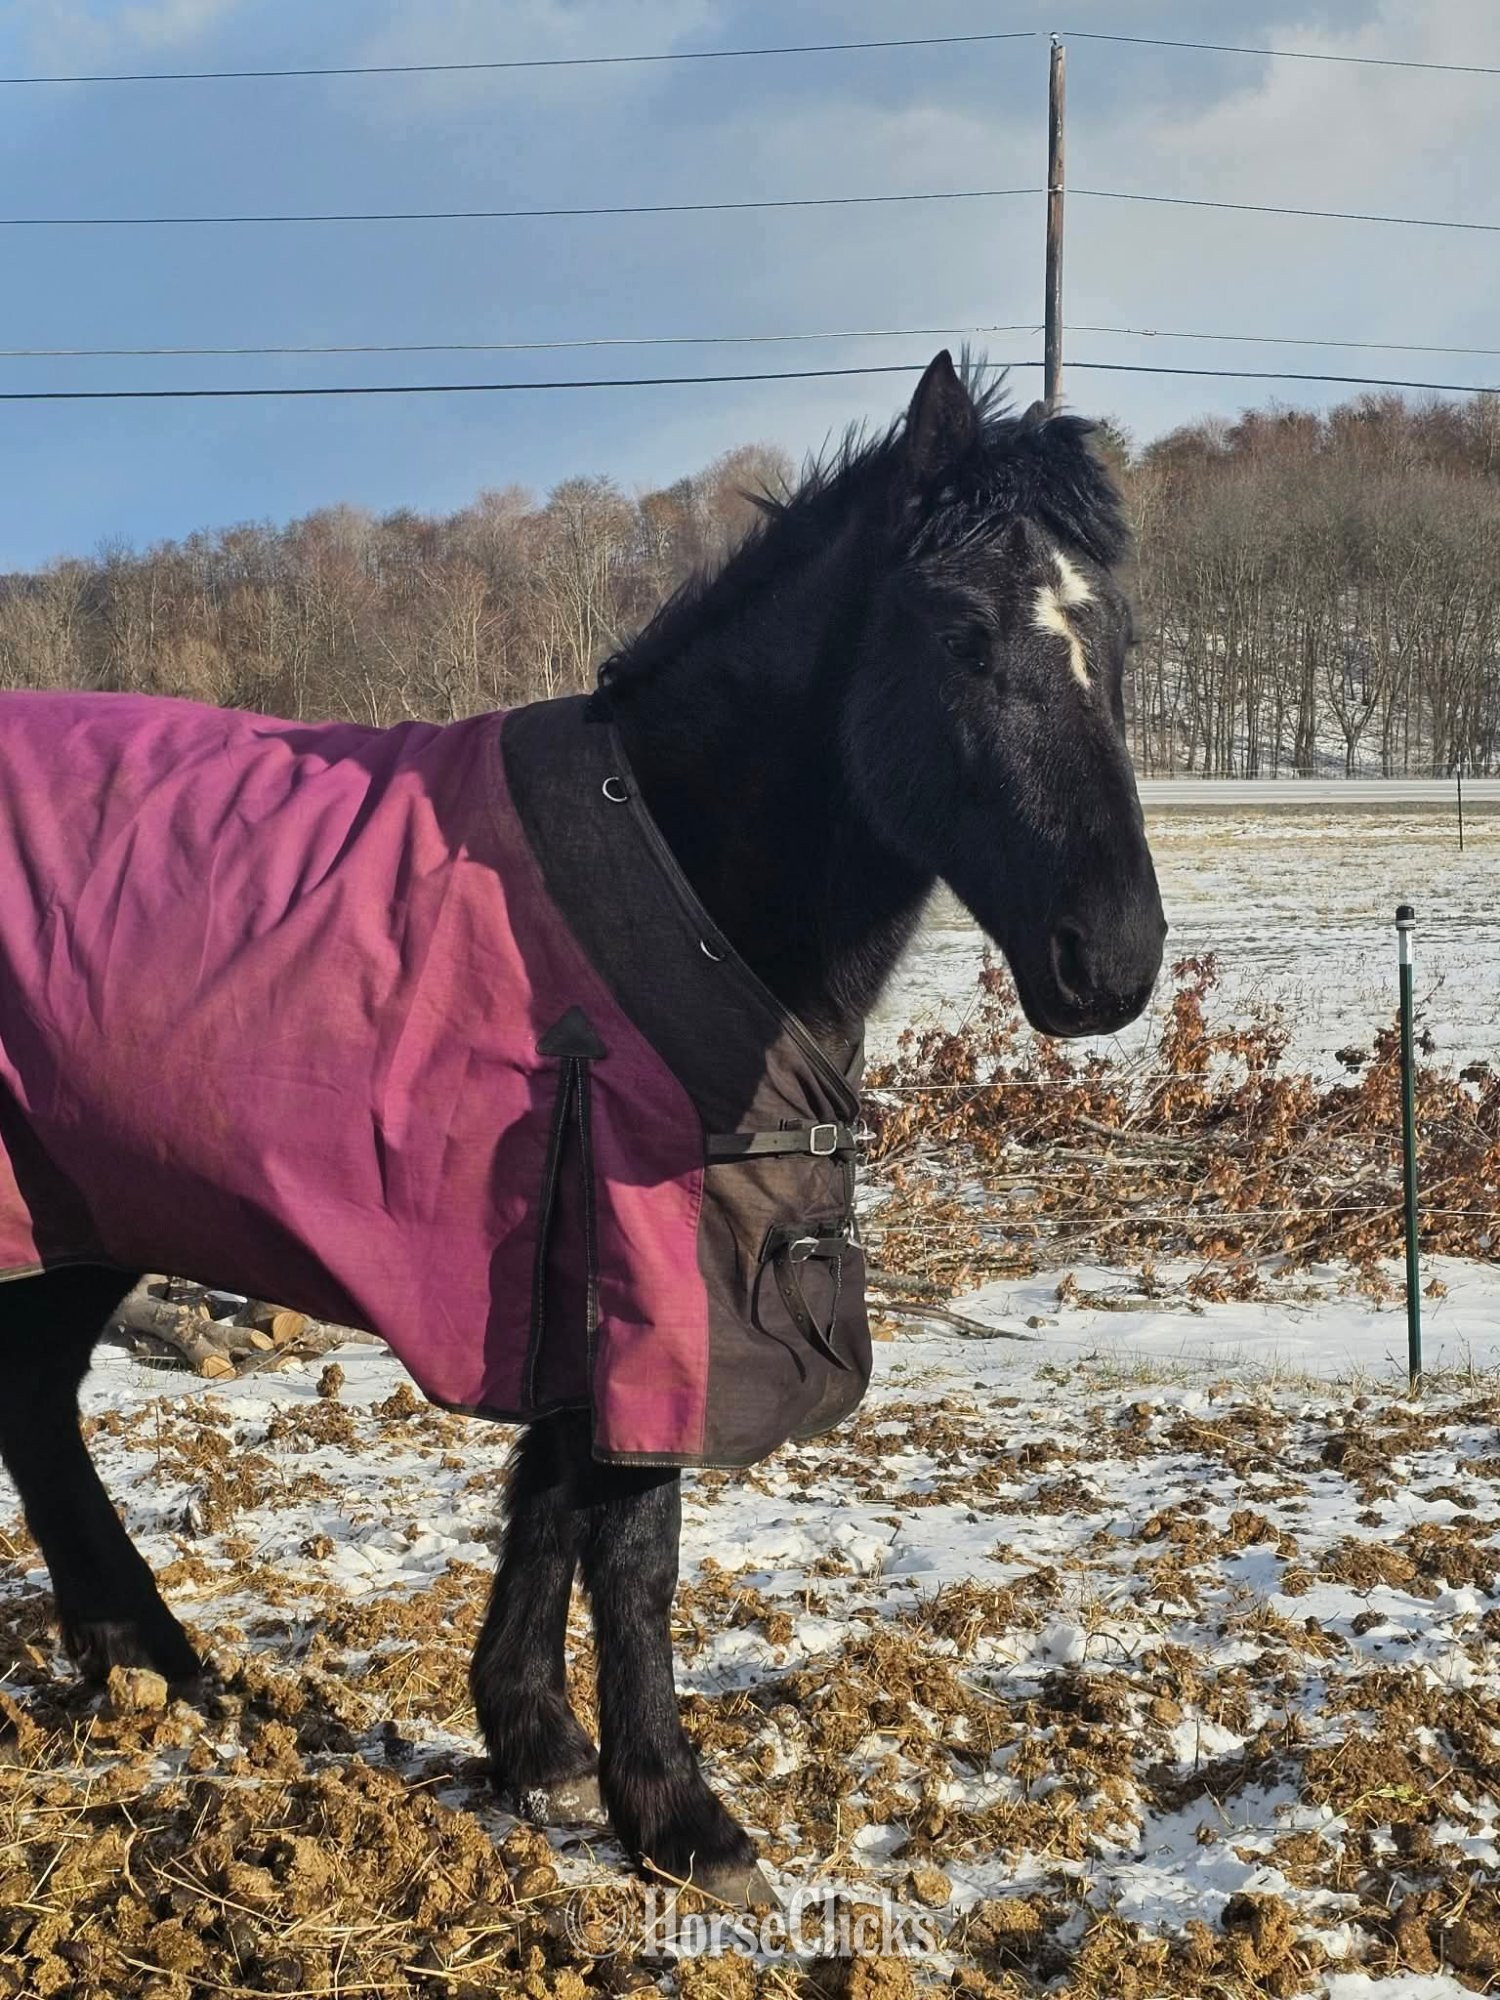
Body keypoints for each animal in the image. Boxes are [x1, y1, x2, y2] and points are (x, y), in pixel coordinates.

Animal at [0, 352, 1165, 1906]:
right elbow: (634, 1532)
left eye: (1123, 642)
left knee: (31, 1397)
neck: (683, 852)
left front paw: (534, 1739)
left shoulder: (582, 1247)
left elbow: (552, 1490)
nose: (1114, 961)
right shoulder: (648, 1254)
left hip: (83, 1202)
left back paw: (147, 1656)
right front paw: (676, 1809)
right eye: (960, 634)